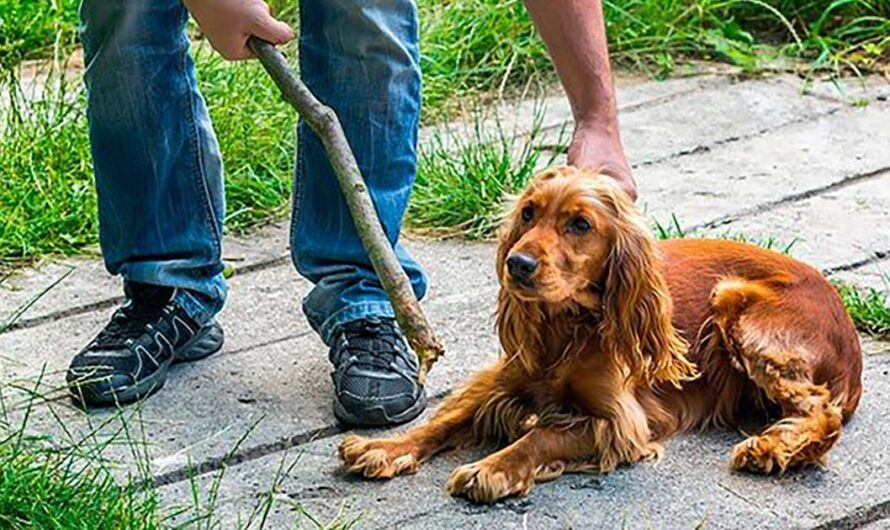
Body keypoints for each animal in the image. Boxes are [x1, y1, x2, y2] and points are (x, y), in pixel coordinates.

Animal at [338, 164, 860, 500]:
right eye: (528, 213)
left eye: (579, 224)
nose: (517, 264)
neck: (566, 327)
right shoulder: (503, 381)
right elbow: (445, 420)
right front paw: (384, 447)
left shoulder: (621, 422)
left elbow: (541, 435)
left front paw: (492, 467)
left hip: (739, 308)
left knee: (822, 413)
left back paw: (772, 447)